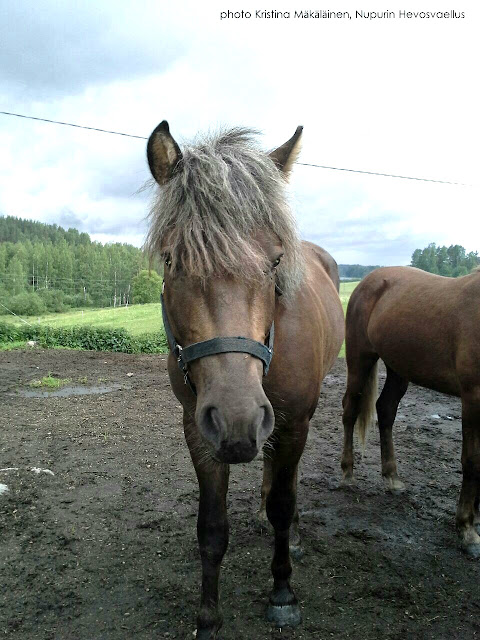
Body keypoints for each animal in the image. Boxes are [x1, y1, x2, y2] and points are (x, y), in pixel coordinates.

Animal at [145, 121, 345, 638]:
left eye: (274, 262)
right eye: (171, 260)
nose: (237, 420)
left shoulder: (292, 422)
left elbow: (284, 505)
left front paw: (282, 592)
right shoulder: (200, 429)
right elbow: (212, 527)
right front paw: (208, 617)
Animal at [341, 265, 480, 556]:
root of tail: (368, 281)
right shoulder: (473, 397)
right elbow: (473, 460)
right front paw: (467, 528)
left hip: (398, 367)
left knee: (385, 410)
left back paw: (392, 477)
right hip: (360, 360)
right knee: (350, 410)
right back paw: (347, 473)